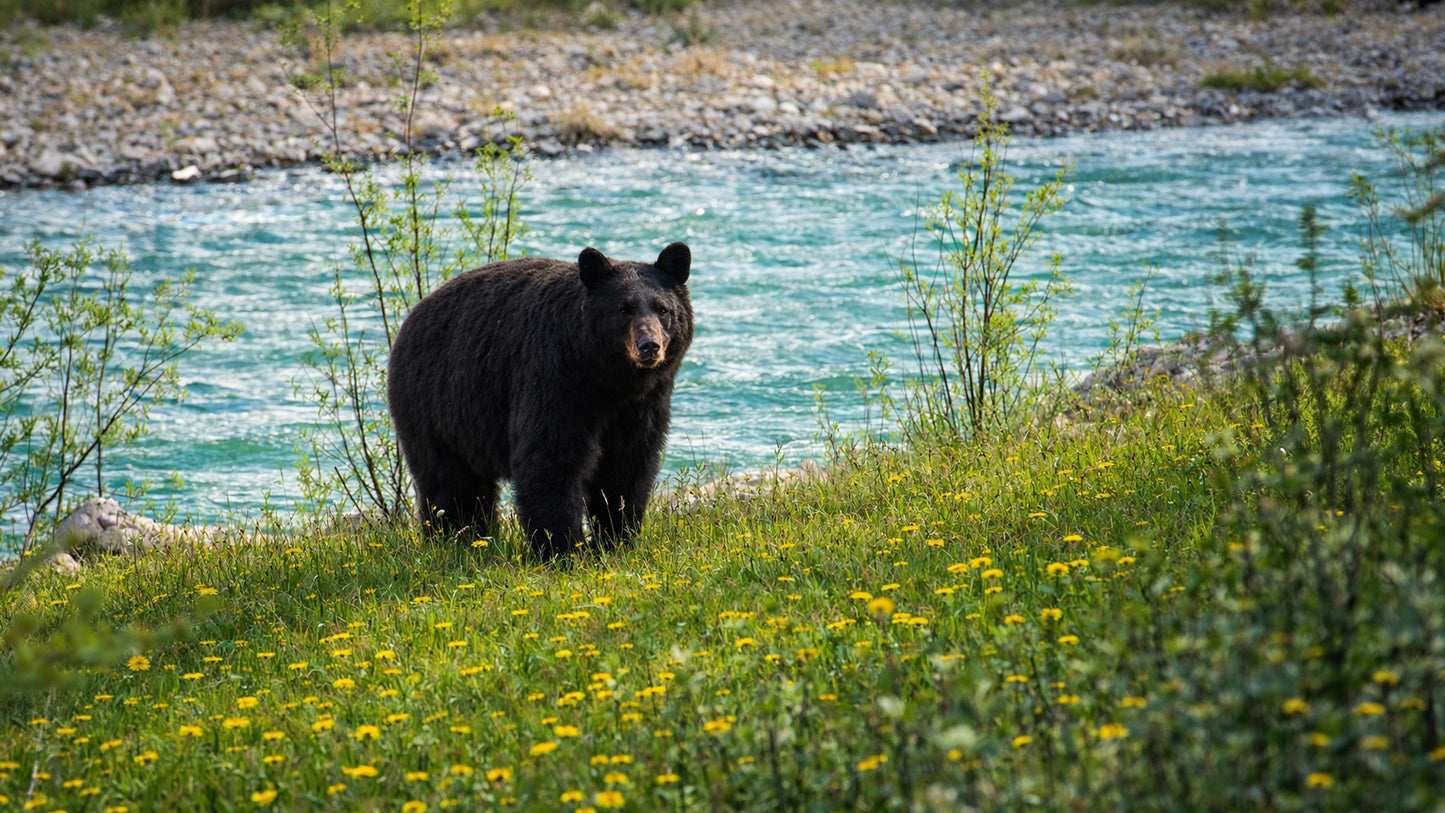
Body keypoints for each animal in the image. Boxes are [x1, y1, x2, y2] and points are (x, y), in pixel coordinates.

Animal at [386, 242, 694, 559]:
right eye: (624, 309)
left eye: (663, 309)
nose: (649, 346)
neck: (609, 379)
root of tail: (413, 315)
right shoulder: (554, 377)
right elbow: (550, 457)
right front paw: (564, 549)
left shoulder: (644, 404)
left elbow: (627, 464)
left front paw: (617, 538)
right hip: (434, 405)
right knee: (447, 481)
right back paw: (451, 538)